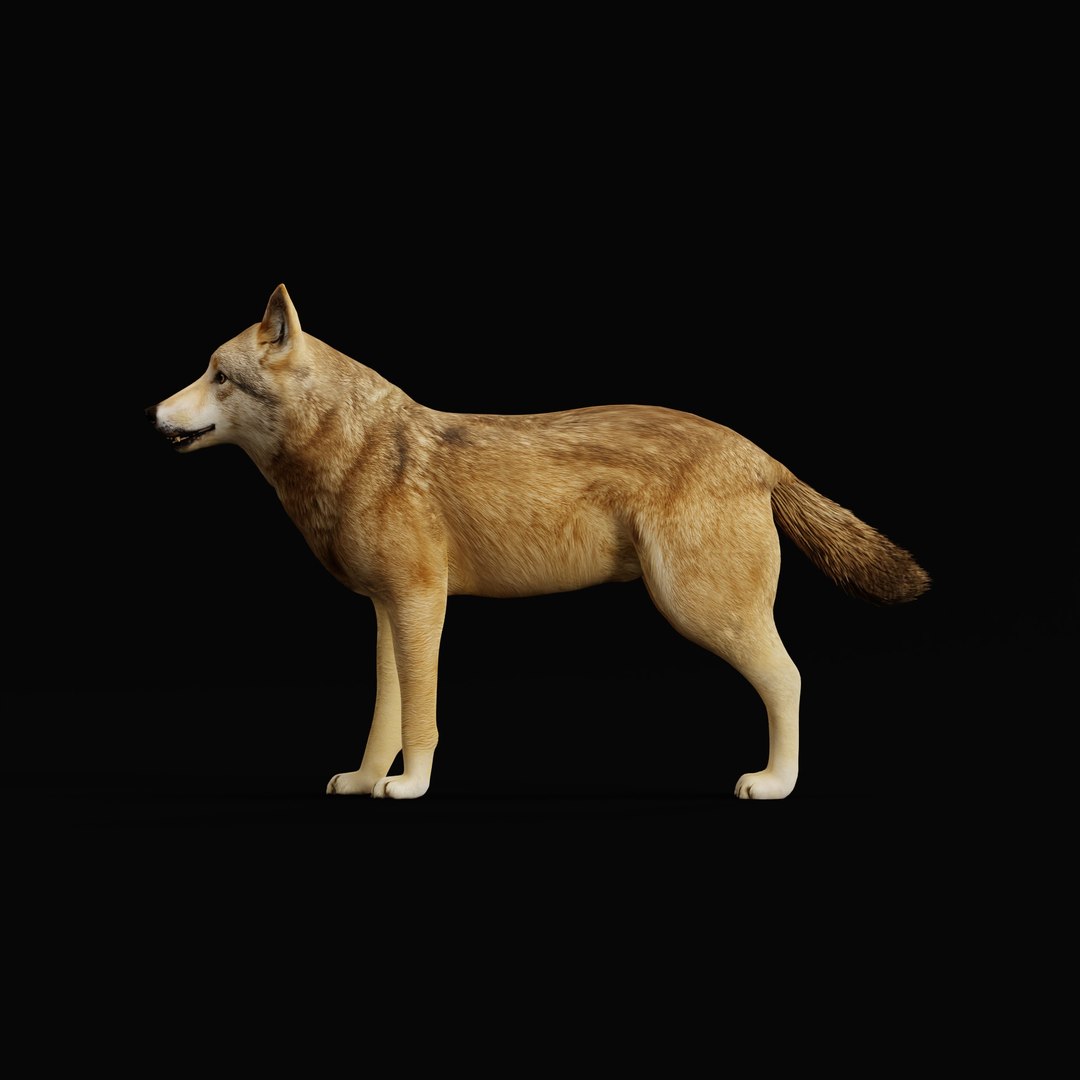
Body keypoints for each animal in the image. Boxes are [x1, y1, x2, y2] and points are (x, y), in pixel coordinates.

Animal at [146, 284, 930, 800]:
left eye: (220, 376)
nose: (153, 414)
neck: (355, 452)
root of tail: (761, 454)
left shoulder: (424, 605)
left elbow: (422, 717)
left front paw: (411, 785)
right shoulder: (387, 611)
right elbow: (386, 713)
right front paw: (368, 779)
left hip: (702, 612)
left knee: (789, 678)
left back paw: (775, 783)